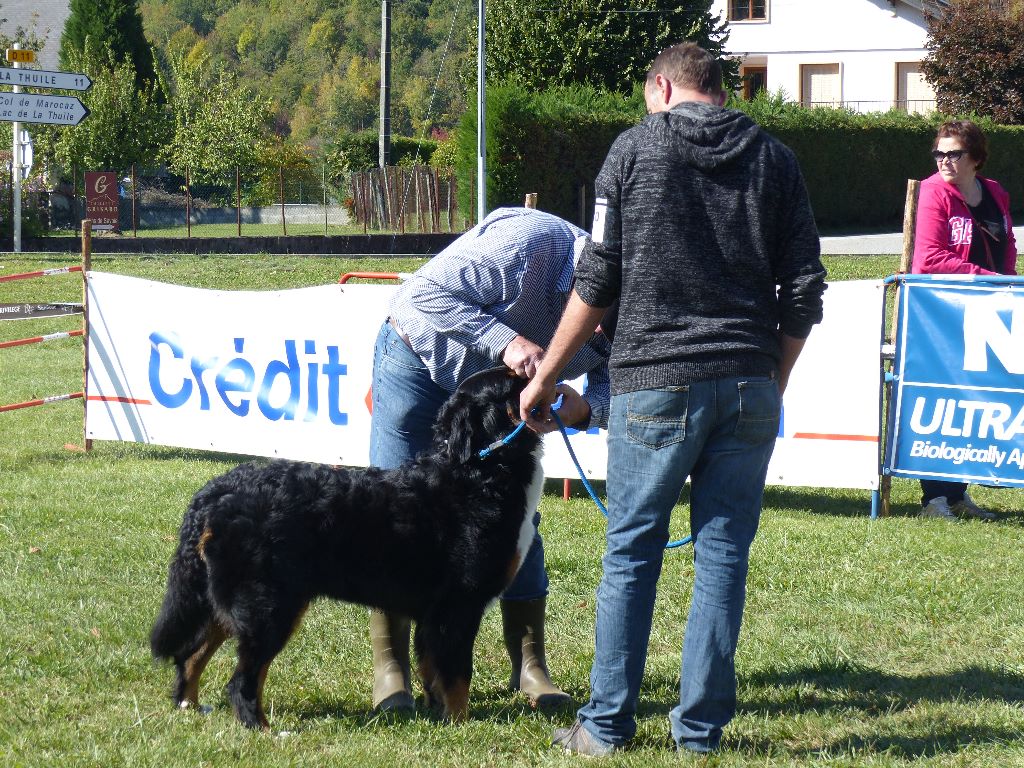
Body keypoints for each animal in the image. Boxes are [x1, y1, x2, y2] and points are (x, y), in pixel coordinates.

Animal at [149, 370, 544, 729]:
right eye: (516, 380)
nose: (541, 366)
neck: (480, 472)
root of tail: (215, 491)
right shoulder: (457, 606)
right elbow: (457, 673)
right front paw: (460, 723)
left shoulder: (433, 614)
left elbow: (432, 670)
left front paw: (438, 716)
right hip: (269, 606)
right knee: (242, 680)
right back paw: (263, 729)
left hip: (229, 603)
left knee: (191, 655)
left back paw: (189, 707)